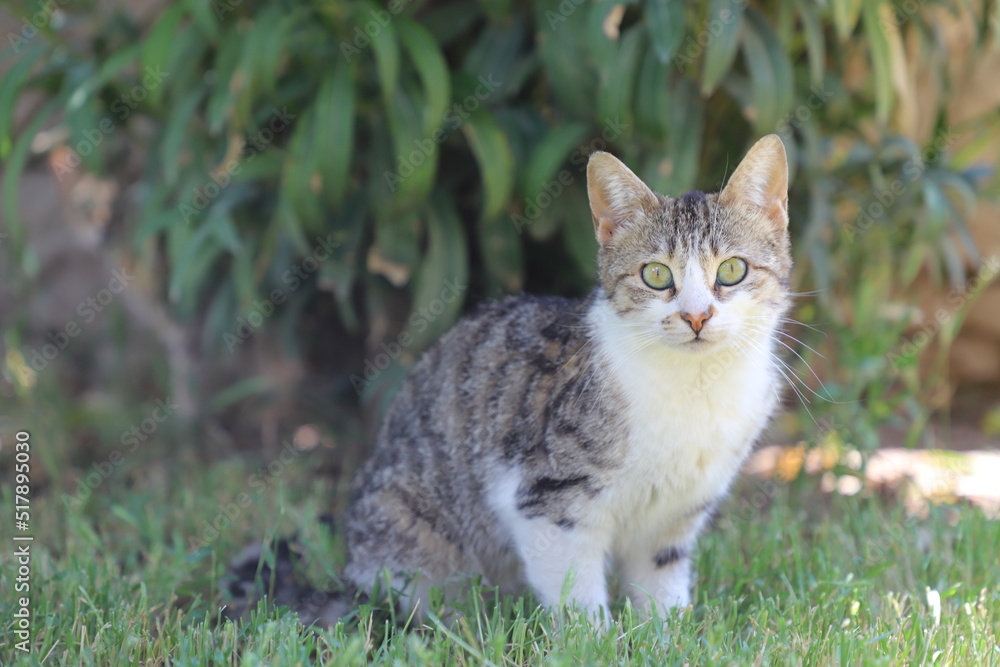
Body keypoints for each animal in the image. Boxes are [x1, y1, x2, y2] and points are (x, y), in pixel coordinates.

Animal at [340, 133, 792, 624]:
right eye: (656, 275)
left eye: (732, 270)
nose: (696, 316)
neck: (695, 385)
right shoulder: (544, 498)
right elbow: (575, 591)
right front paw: (593, 635)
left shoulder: (676, 512)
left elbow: (661, 580)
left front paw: (668, 630)